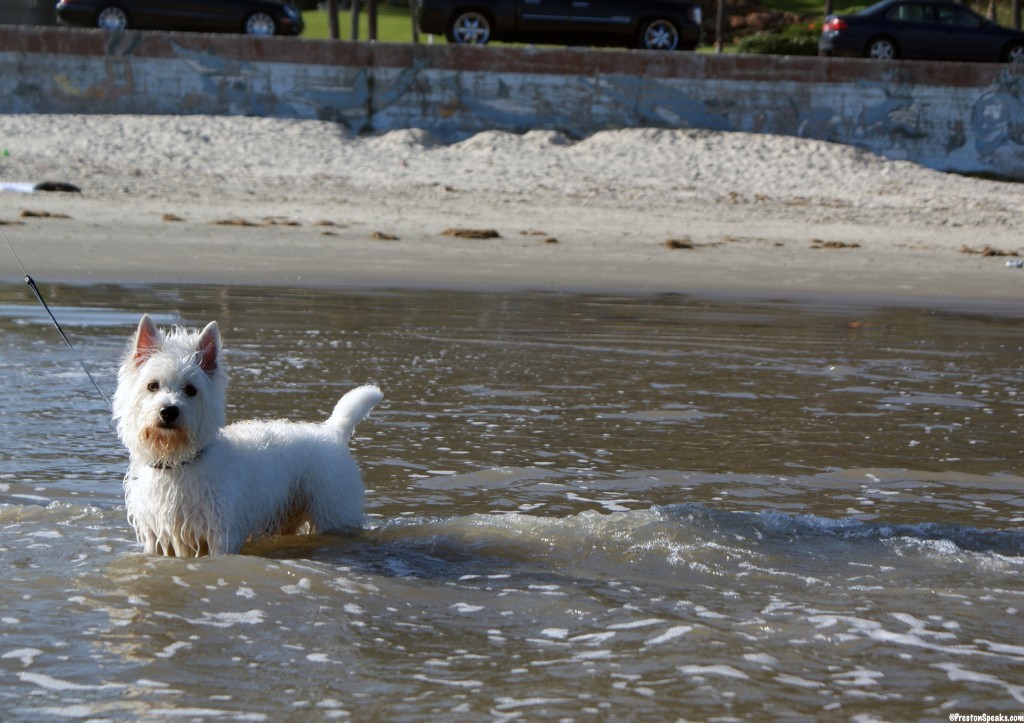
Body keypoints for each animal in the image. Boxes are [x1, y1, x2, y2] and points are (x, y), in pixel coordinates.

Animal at [112, 313, 382, 553]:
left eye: (191, 389)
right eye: (152, 386)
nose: (168, 411)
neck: (178, 463)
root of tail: (332, 432)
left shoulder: (221, 535)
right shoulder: (157, 536)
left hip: (333, 512)